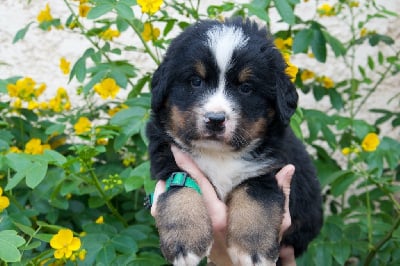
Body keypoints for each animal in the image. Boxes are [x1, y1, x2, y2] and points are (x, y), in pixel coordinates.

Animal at [145, 17, 324, 264]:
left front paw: (254, 251)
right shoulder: (169, 159)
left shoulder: (267, 169)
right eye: (195, 81)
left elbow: (255, 200)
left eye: (246, 88)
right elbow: (180, 192)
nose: (215, 119)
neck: (219, 154)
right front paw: (184, 243)